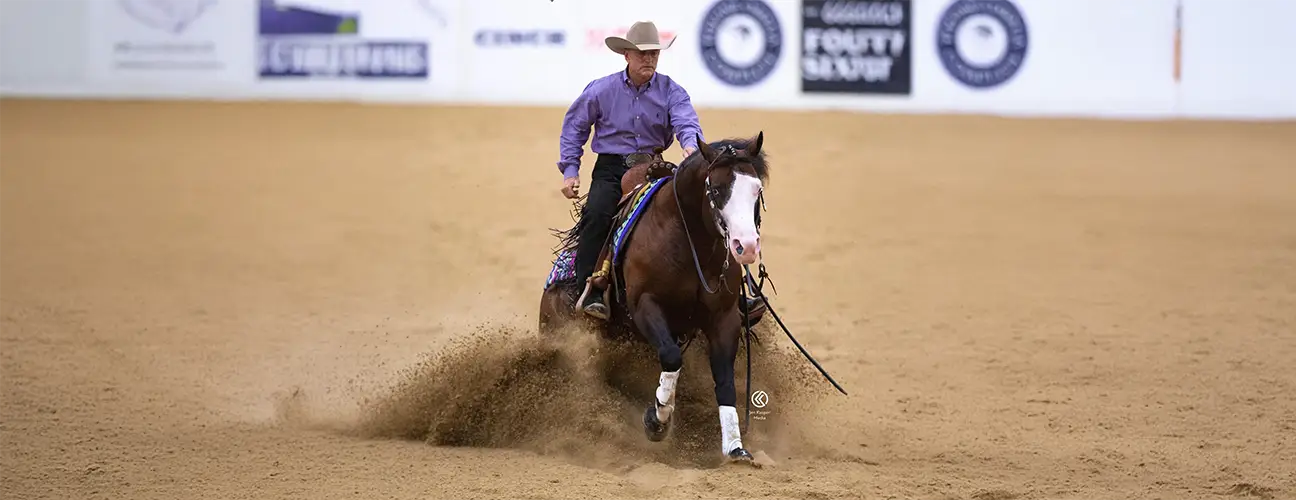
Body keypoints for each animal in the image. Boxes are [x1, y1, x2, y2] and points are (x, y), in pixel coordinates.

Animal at [538, 132, 771, 465]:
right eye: (716, 189)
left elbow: (725, 379)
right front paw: (657, 420)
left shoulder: (724, 318)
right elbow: (671, 357)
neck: (690, 244)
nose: (746, 246)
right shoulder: (644, 306)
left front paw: (735, 448)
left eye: (757, 190)